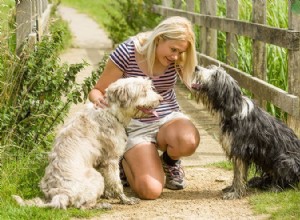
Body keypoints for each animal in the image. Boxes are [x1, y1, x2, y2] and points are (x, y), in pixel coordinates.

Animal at [12, 77, 162, 210]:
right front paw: (125, 199)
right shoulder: (111, 159)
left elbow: (109, 181)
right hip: (96, 177)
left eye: (149, 87)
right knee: (82, 206)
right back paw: (102, 206)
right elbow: (116, 183)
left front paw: (108, 195)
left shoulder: (102, 161)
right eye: (143, 91)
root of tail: (60, 195)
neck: (110, 111)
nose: (160, 99)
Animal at [192, 65, 300, 199]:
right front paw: (232, 189)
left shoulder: (240, 150)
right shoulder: (236, 151)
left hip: (285, 160)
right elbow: (236, 174)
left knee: (289, 182)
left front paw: (235, 193)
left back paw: (274, 187)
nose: (196, 67)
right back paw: (259, 181)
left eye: (215, 75)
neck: (232, 111)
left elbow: (239, 175)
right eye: (209, 68)